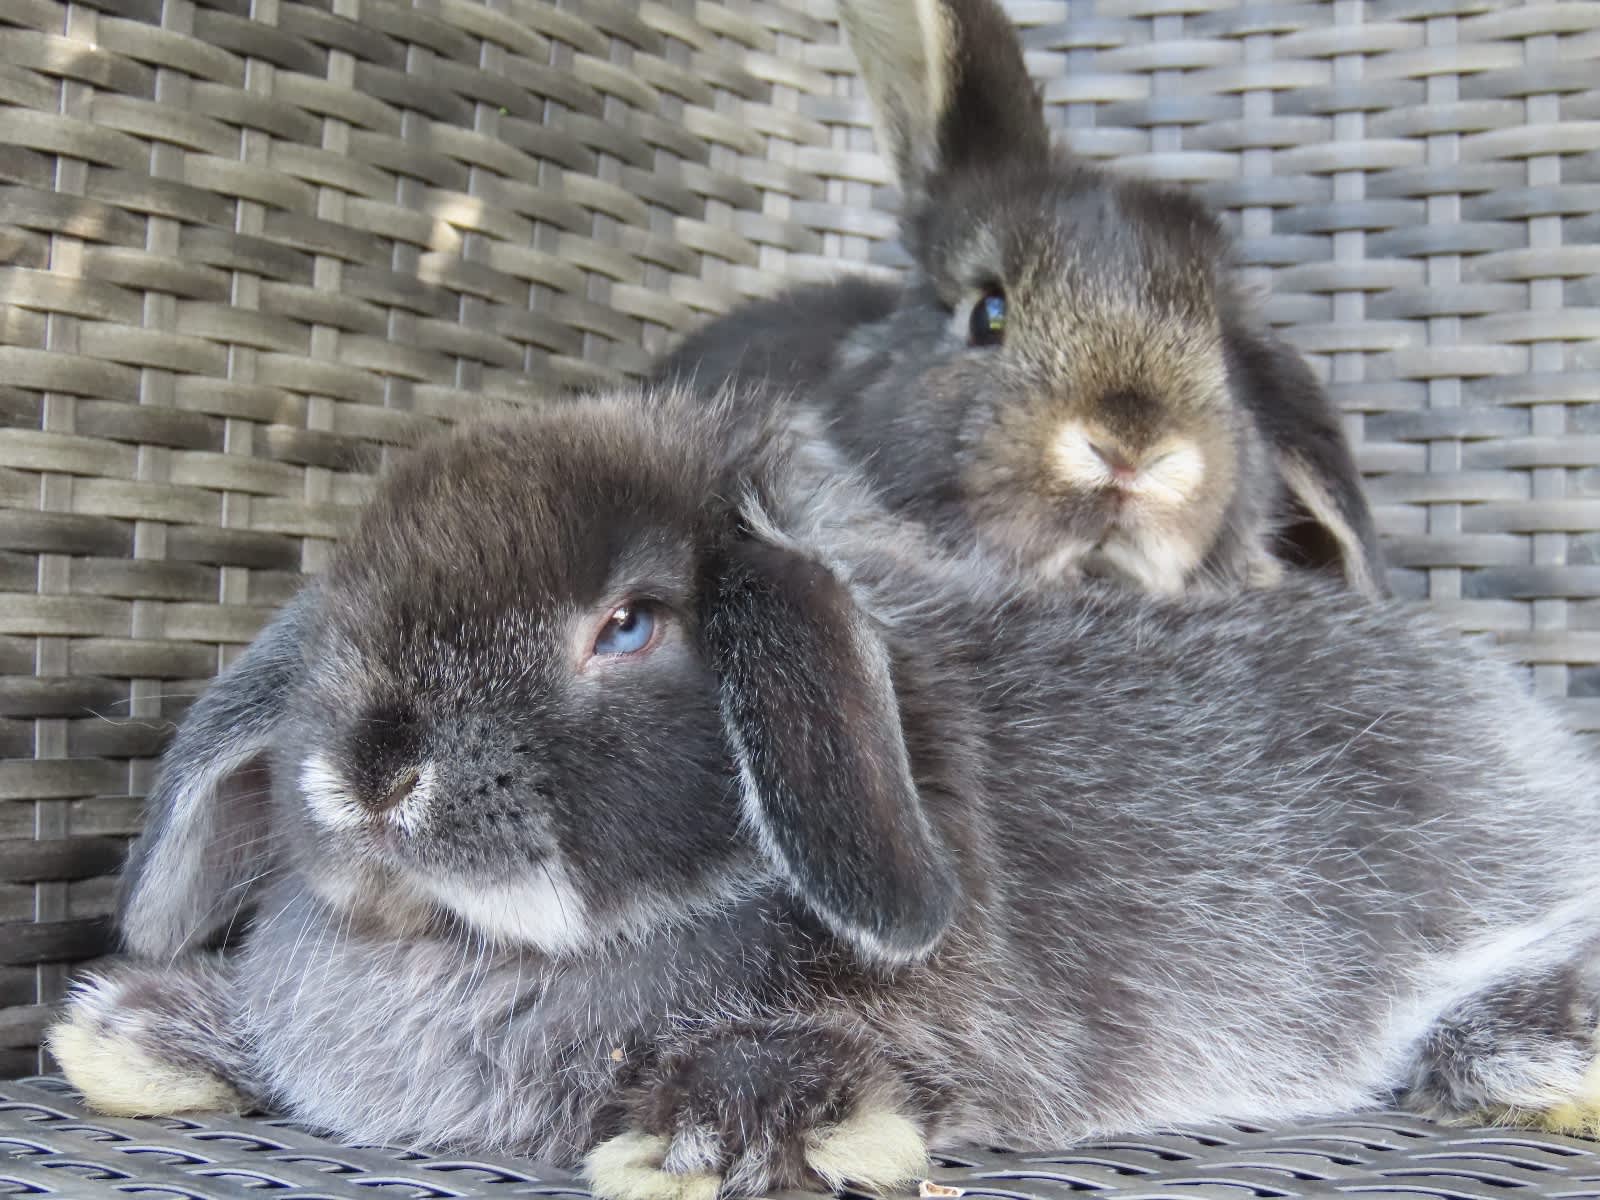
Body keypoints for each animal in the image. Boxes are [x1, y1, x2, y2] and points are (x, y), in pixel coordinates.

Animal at [50, 383, 1600, 1200]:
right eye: (344, 604)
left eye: (629, 626)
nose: (371, 771)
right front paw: (134, 1032)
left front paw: (714, 1132)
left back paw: (1543, 1047)